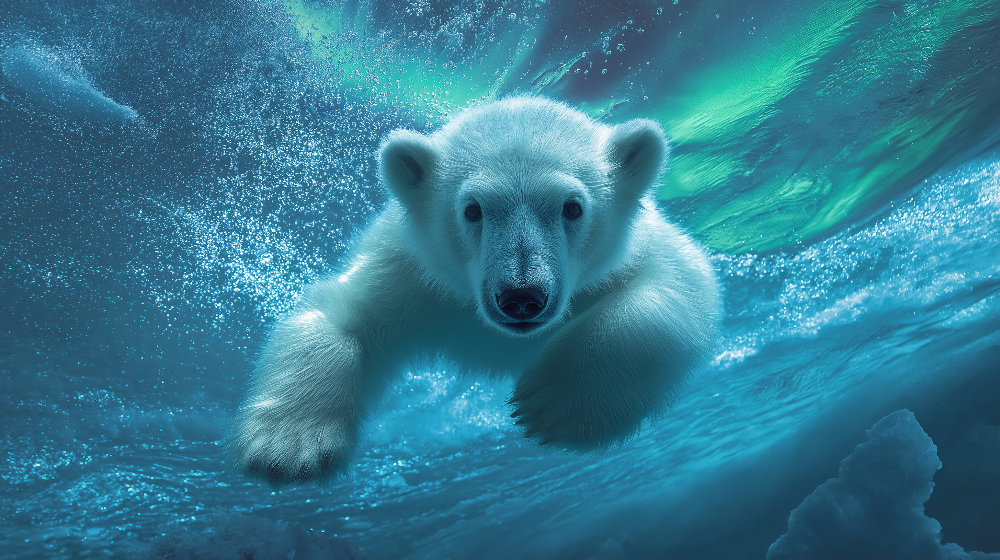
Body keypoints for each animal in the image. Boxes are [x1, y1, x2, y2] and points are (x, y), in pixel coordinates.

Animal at [225, 96, 720, 485]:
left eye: (573, 207)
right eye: (473, 209)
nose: (522, 296)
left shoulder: (632, 252)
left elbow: (679, 283)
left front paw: (552, 402)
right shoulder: (411, 273)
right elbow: (343, 317)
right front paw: (288, 445)